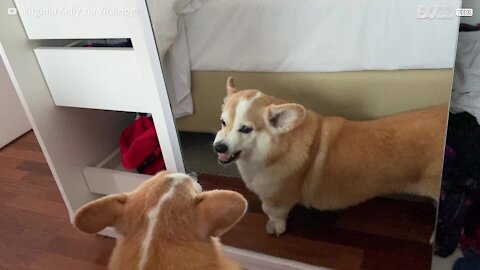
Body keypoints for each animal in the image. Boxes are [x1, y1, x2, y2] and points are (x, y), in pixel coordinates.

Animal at [214, 76, 446, 236]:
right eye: (223, 122)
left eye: (246, 129)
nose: (218, 147)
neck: (276, 149)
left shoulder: (278, 199)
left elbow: (274, 213)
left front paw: (275, 228)